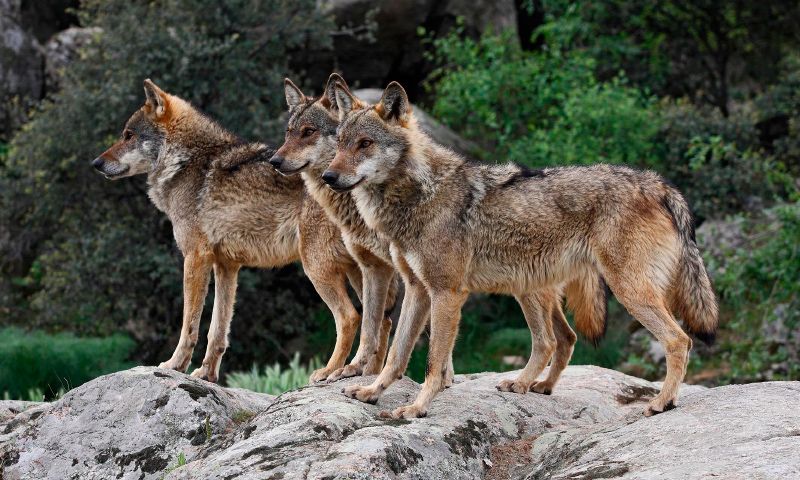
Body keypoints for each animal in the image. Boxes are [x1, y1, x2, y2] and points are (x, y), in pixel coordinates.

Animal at [91, 79, 387, 383]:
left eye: (128, 136)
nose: (95, 163)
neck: (186, 162)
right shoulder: (226, 266)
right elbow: (217, 330)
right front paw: (206, 374)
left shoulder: (195, 258)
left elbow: (190, 324)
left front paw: (174, 366)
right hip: (358, 270)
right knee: (381, 320)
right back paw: (368, 374)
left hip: (316, 268)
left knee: (351, 317)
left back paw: (330, 372)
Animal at [270, 74, 609, 393]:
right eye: (288, 132)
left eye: (309, 132)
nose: (274, 160)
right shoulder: (374, 269)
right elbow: (373, 325)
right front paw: (357, 371)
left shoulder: (425, 277)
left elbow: (422, 332)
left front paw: (439, 380)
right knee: (567, 336)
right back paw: (543, 386)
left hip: (526, 286)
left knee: (554, 337)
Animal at [328, 81, 718, 419]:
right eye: (340, 143)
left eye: (365, 143)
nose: (330, 177)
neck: (420, 194)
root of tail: (658, 184)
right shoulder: (417, 289)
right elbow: (397, 354)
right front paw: (371, 392)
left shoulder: (447, 293)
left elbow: (434, 363)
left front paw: (417, 407)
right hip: (530, 287)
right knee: (554, 341)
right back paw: (532, 385)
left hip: (625, 291)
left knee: (678, 340)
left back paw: (661, 402)